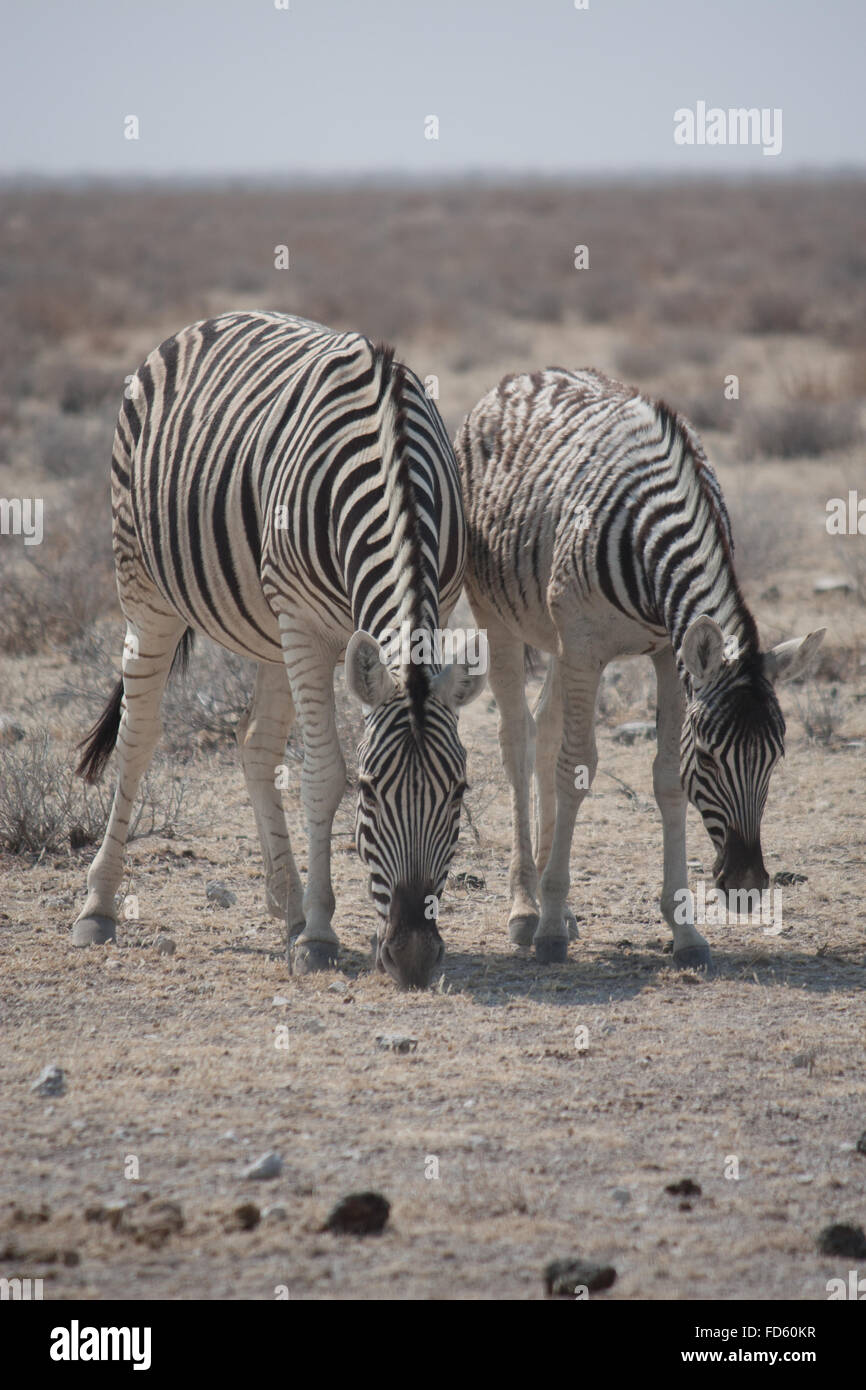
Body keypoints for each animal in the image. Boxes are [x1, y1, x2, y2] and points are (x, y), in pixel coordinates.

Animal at [74, 311, 485, 989]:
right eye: (370, 791)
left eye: (459, 791)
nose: (413, 959)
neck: (389, 455)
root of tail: (206, 322)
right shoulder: (305, 623)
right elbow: (321, 774)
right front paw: (319, 937)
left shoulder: (439, 605)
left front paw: (308, 923)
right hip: (146, 587)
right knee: (138, 736)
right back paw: (98, 909)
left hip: (270, 633)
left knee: (254, 745)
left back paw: (286, 905)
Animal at [454, 367, 824, 970]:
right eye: (710, 757)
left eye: (776, 758)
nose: (747, 883)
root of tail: (519, 378)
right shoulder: (585, 642)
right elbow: (575, 766)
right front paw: (549, 928)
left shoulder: (667, 655)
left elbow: (666, 777)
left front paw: (685, 931)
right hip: (498, 615)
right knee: (518, 740)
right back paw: (527, 909)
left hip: (556, 637)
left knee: (546, 727)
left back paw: (557, 904)